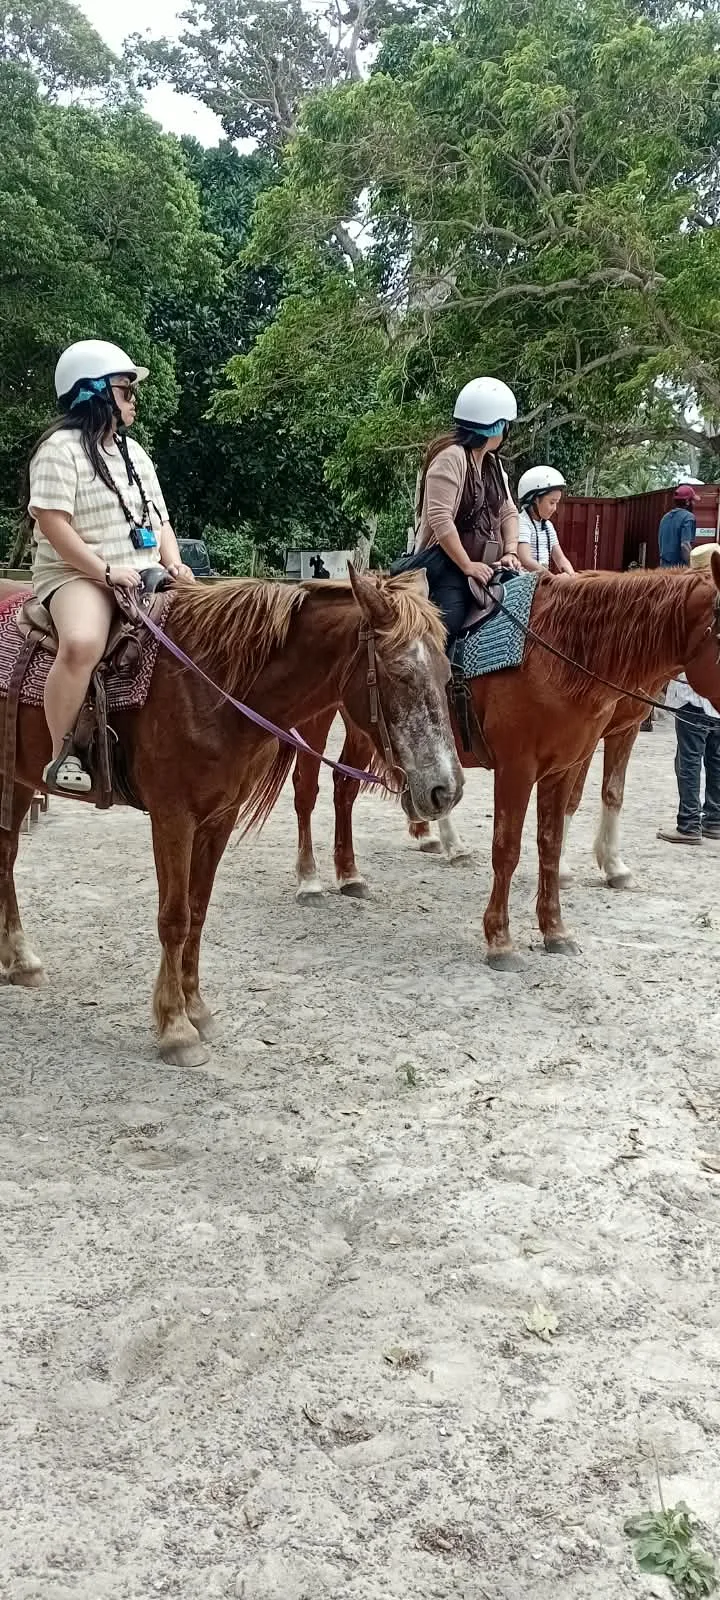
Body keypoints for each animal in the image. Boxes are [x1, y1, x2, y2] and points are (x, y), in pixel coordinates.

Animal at [0, 568, 463, 1065]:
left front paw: (197, 1010)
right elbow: (174, 918)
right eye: (400, 674)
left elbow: (198, 912)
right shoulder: (173, 818)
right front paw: (175, 1029)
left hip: (18, 780)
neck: (213, 688)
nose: (446, 789)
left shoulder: (219, 818)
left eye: (446, 672)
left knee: (6, 856)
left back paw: (20, 960)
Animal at [290, 562, 720, 964]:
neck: (563, 655)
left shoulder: (570, 762)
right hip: (319, 716)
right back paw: (312, 879)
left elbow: (555, 839)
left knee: (346, 788)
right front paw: (500, 939)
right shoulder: (517, 767)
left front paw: (556, 929)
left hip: (371, 731)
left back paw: (354, 872)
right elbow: (508, 848)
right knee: (308, 790)